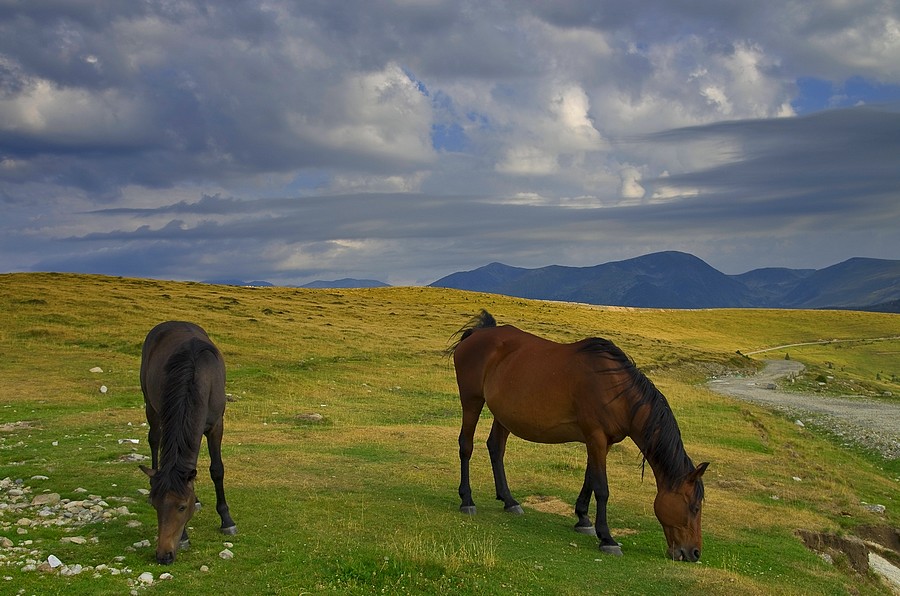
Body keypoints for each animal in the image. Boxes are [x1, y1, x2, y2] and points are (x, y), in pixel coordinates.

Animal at [139, 322, 237, 564]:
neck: (198, 378)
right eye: (156, 506)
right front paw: (183, 537)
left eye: (183, 507)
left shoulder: (216, 425)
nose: (163, 555)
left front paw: (227, 520)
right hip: (150, 404)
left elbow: (216, 470)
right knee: (154, 440)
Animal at [450, 312, 712, 564]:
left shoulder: (601, 442)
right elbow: (602, 487)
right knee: (466, 446)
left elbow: (590, 479)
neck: (617, 391)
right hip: (472, 400)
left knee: (496, 448)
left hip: (503, 415)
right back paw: (467, 500)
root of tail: (477, 334)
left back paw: (509, 500)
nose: (694, 553)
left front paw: (583, 519)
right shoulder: (596, 437)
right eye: (694, 507)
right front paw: (607, 538)